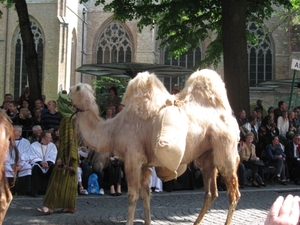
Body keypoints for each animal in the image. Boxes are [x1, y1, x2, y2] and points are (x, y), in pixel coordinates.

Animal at [69, 69, 240, 225]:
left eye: (75, 88)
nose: (66, 90)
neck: (114, 130)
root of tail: (230, 116)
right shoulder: (144, 164)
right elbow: (146, 194)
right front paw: (147, 221)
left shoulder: (133, 158)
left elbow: (132, 195)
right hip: (206, 157)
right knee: (211, 193)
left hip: (225, 153)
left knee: (233, 193)